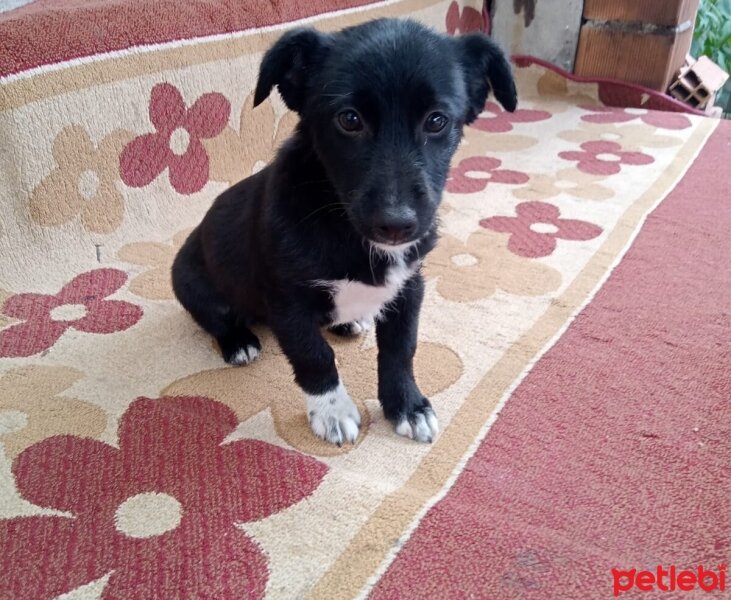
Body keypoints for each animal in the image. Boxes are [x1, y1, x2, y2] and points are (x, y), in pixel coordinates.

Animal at [173, 18, 516, 446]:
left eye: (437, 120)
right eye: (349, 119)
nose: (397, 224)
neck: (345, 227)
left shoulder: (409, 287)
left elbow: (401, 348)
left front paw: (408, 405)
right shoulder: (289, 303)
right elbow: (315, 357)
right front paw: (332, 412)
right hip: (190, 282)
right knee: (216, 318)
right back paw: (238, 342)